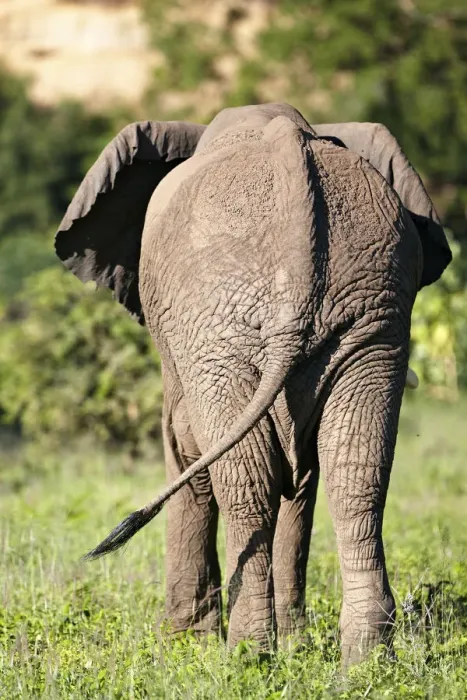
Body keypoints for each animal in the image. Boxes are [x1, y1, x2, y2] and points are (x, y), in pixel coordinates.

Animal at [55, 103, 451, 666]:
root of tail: (289, 143)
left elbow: (186, 450)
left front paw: (185, 647)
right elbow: (301, 480)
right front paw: (295, 646)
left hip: (220, 323)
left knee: (247, 480)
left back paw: (247, 658)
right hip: (371, 314)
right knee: (355, 471)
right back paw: (364, 662)